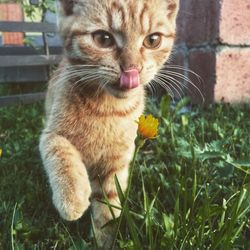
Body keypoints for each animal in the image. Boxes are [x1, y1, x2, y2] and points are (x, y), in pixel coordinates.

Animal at [39, 0, 179, 246]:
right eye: (103, 39)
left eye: (153, 40)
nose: (132, 70)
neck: (107, 110)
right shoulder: (50, 134)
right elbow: (59, 150)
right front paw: (72, 197)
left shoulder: (117, 162)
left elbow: (109, 202)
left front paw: (105, 238)